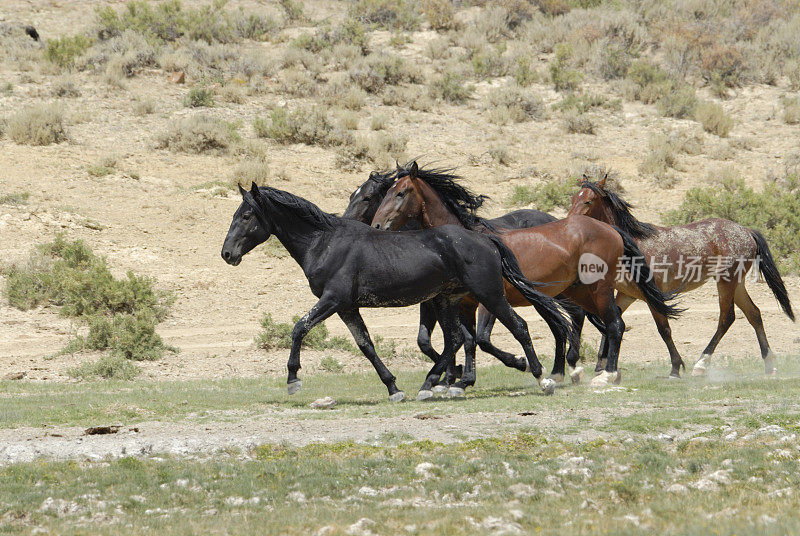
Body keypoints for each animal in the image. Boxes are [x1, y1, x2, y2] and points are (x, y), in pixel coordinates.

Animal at [222, 182, 572, 400]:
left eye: (247, 215)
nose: (227, 254)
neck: (325, 242)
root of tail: (485, 238)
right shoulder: (347, 307)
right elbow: (366, 346)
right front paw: (394, 388)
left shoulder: (333, 300)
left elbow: (299, 329)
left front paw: (293, 380)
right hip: (449, 300)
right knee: (456, 340)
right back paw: (433, 384)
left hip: (489, 295)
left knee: (518, 327)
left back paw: (542, 378)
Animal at [370, 161, 680, 392]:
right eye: (384, 194)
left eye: (400, 193)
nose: (376, 226)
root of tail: (610, 230)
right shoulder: (466, 303)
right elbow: (469, 340)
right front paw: (462, 381)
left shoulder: (489, 302)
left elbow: (483, 339)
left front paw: (519, 364)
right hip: (574, 291)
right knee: (592, 323)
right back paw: (575, 372)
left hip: (597, 288)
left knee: (613, 323)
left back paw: (605, 375)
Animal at [568, 176, 792, 376]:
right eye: (573, 199)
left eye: (588, 201)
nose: (570, 225)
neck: (631, 244)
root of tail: (746, 230)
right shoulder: (627, 295)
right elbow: (611, 321)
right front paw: (602, 365)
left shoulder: (653, 297)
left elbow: (664, 329)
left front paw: (676, 368)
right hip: (736, 284)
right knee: (754, 314)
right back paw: (769, 366)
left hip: (726, 282)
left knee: (726, 318)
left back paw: (701, 365)